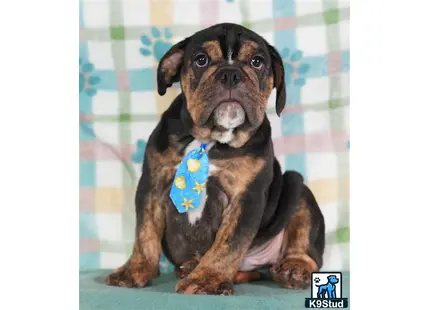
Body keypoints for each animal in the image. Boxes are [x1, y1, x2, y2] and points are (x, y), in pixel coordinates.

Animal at [105, 22, 326, 296]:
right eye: (201, 60)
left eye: (257, 62)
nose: (230, 74)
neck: (211, 140)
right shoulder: (152, 186)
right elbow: (145, 233)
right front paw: (134, 269)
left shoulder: (247, 197)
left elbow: (228, 244)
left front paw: (207, 278)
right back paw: (193, 266)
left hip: (298, 189)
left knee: (306, 245)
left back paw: (293, 268)